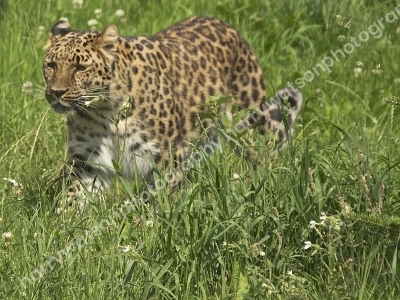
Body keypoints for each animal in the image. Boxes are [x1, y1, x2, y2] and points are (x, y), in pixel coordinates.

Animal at [43, 15, 300, 206]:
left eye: (81, 67)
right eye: (51, 65)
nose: (56, 92)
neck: (105, 111)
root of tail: (225, 24)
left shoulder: (165, 160)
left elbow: (161, 203)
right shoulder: (88, 161)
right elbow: (73, 198)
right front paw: (66, 229)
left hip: (249, 123)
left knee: (266, 153)